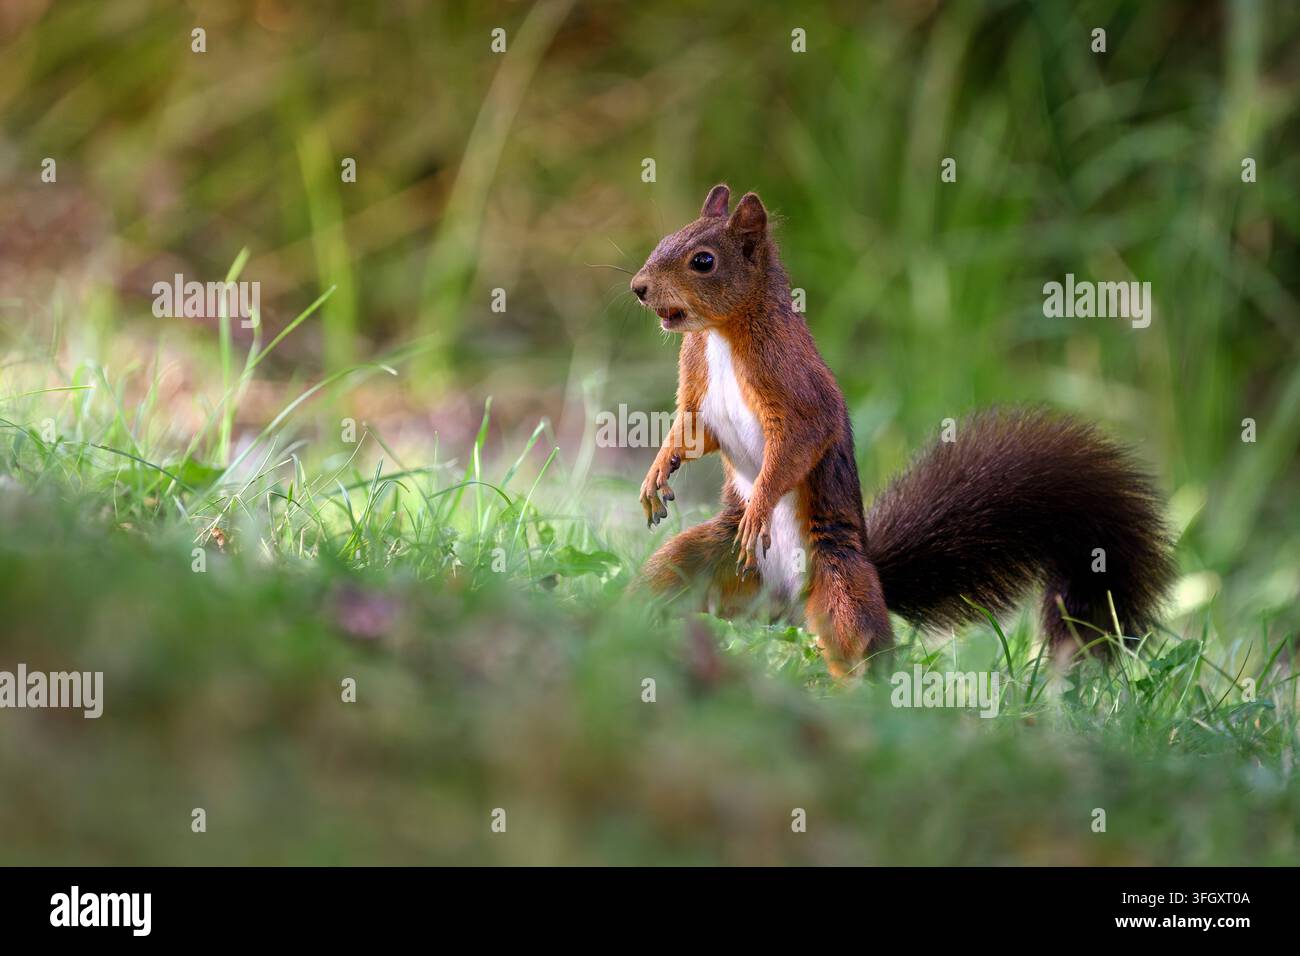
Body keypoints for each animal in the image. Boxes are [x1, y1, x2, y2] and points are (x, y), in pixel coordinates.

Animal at [630, 184, 1176, 678]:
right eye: (664, 239)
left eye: (703, 261)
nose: (638, 287)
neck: (721, 332)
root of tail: (784, 605)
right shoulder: (697, 387)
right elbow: (693, 432)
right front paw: (657, 470)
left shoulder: (794, 387)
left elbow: (799, 442)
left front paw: (760, 505)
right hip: (703, 562)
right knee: (664, 579)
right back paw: (631, 622)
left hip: (841, 583)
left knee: (864, 648)